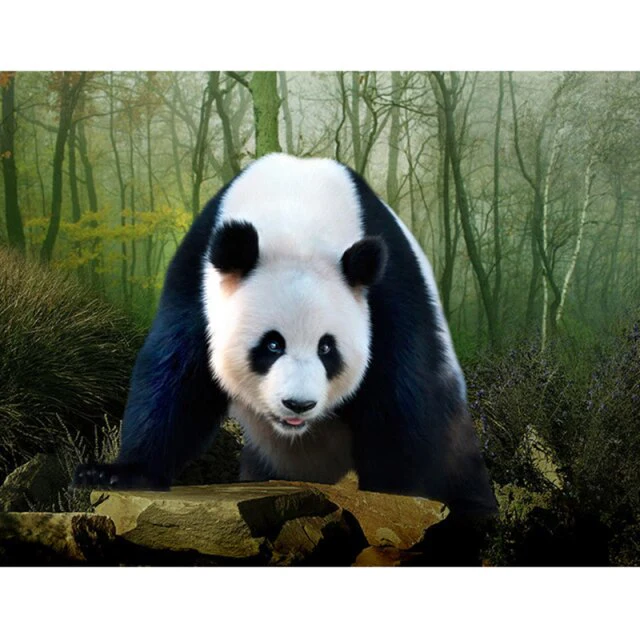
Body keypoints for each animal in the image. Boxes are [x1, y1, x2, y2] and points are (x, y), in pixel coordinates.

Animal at [74, 153, 497, 516]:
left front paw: (399, 495)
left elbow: (402, 392)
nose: (298, 404)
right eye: (272, 344)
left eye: (327, 348)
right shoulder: (197, 276)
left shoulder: (389, 290)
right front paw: (114, 473)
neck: (296, 215)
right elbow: (175, 374)